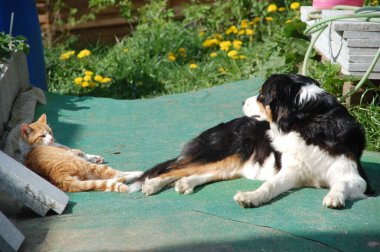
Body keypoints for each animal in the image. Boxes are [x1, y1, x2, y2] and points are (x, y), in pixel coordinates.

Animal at [235, 73, 374, 209]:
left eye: (261, 94)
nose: (242, 102)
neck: (305, 122)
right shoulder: (293, 170)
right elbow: (269, 184)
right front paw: (251, 196)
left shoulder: (356, 176)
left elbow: (342, 183)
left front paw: (334, 197)